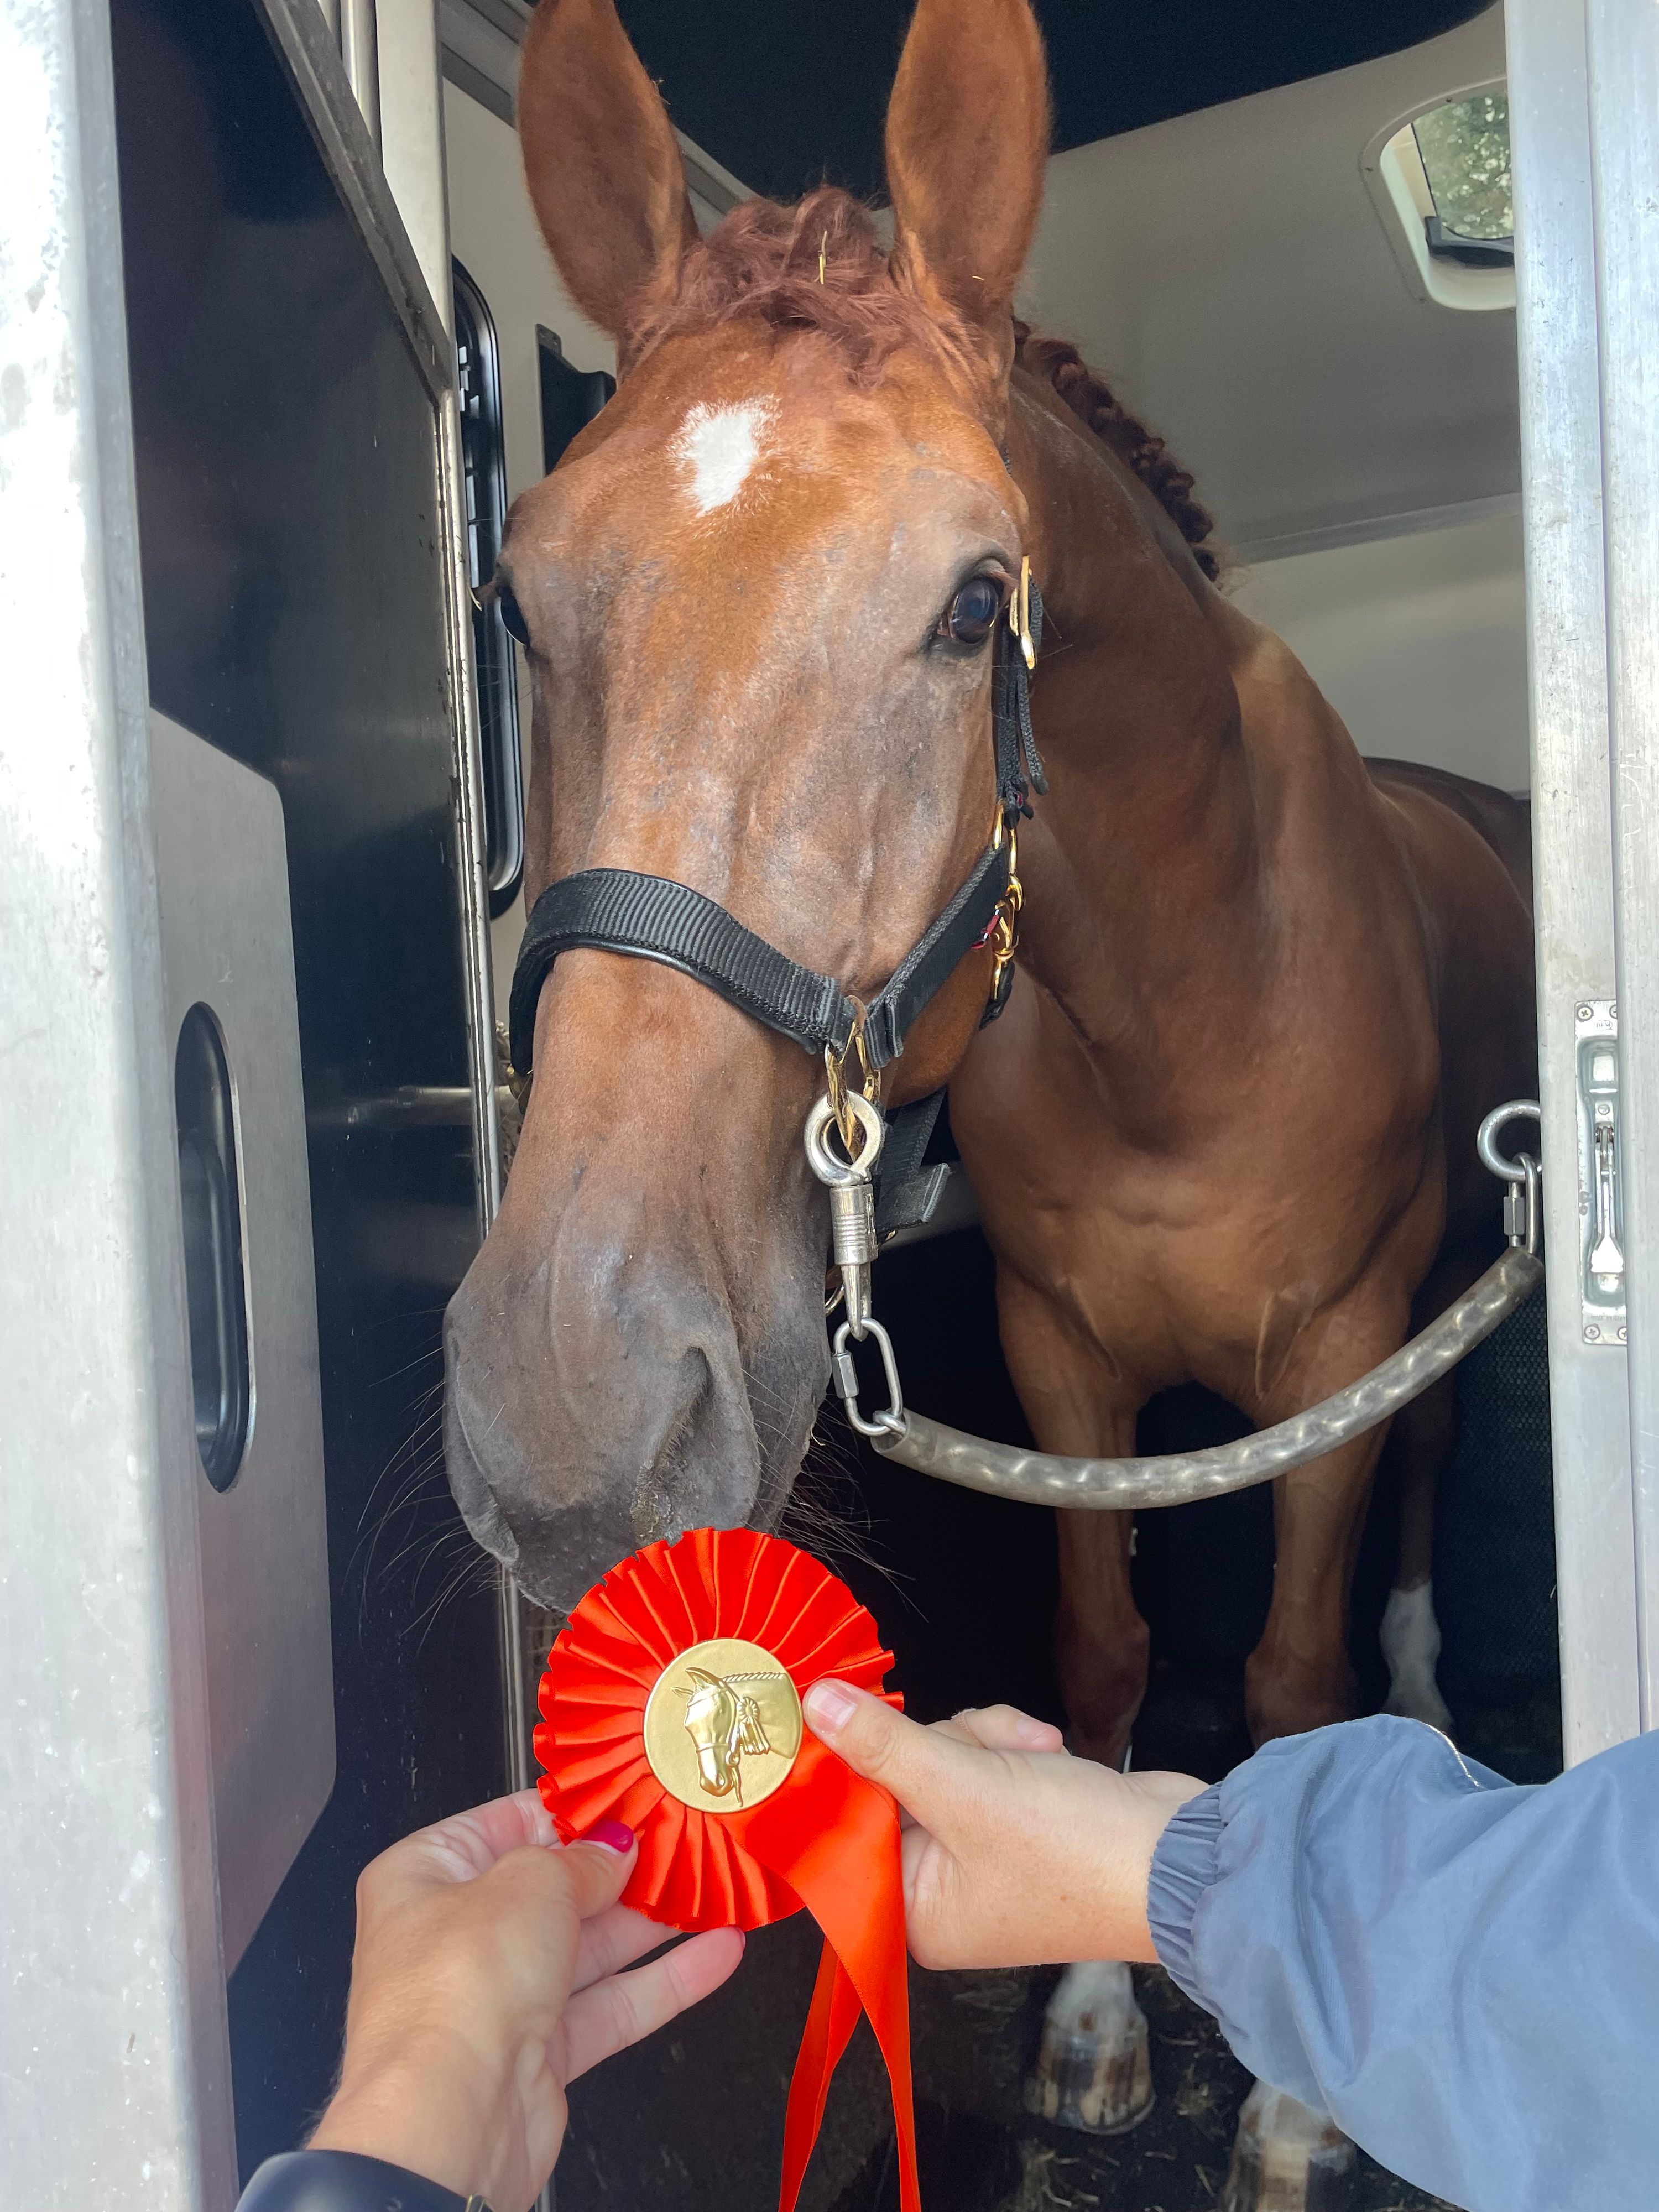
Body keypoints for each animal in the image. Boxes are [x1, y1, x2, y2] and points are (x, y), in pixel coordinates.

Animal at [442, 0, 1535, 2178]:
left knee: (1430, 1481)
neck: (1189, 1010)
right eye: (519, 594)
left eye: (971, 605)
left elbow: (1287, 1675)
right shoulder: (1060, 1355)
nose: (573, 1416)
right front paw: (1099, 2016)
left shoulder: (1337, 1352)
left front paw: (1288, 2111)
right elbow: (1105, 1653)